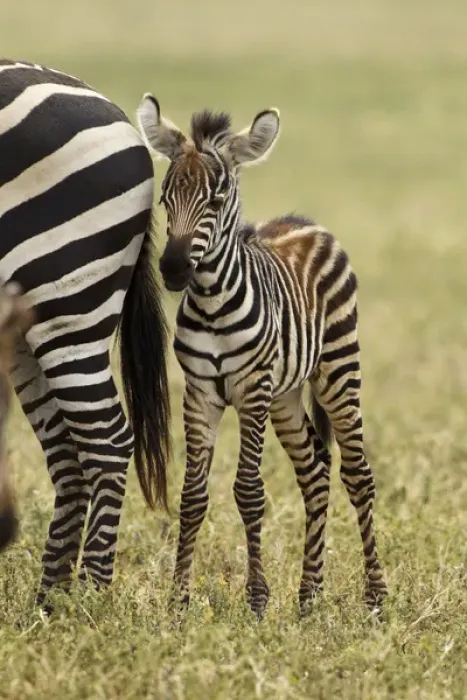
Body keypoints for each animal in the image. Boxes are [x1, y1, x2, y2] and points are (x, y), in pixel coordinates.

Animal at [0, 60, 171, 604]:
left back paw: (91, 602)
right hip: (27, 321)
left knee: (108, 443)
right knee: (67, 453)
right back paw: (49, 604)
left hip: (66, 299)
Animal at [136, 93, 388, 619]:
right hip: (286, 396)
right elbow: (193, 495)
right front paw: (178, 600)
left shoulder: (252, 390)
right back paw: (309, 595)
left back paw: (375, 596)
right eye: (165, 198)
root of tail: (306, 221)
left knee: (357, 475)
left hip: (338, 370)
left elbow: (249, 491)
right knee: (315, 471)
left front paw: (256, 599)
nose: (172, 269)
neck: (212, 303)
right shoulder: (200, 394)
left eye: (215, 201)